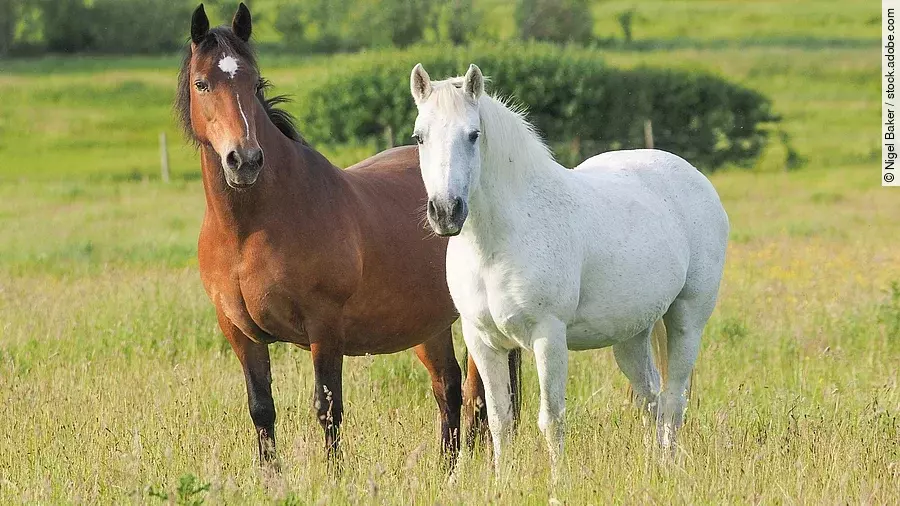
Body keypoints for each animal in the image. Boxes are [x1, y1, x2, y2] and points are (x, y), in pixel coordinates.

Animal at [175, 4, 520, 468]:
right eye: (202, 83)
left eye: (254, 82)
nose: (244, 160)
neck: (250, 230)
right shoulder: (239, 333)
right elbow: (261, 409)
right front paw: (271, 477)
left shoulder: (324, 328)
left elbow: (328, 408)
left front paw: (333, 475)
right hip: (429, 324)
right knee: (449, 389)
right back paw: (446, 470)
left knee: (481, 396)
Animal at [409, 63, 729, 474]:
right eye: (419, 137)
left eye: (474, 134)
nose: (447, 211)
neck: (499, 241)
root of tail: (694, 177)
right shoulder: (482, 341)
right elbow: (499, 420)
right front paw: (503, 481)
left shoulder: (548, 337)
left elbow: (551, 419)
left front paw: (558, 481)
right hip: (631, 335)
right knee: (651, 399)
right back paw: (650, 468)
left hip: (687, 320)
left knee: (673, 399)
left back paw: (666, 468)